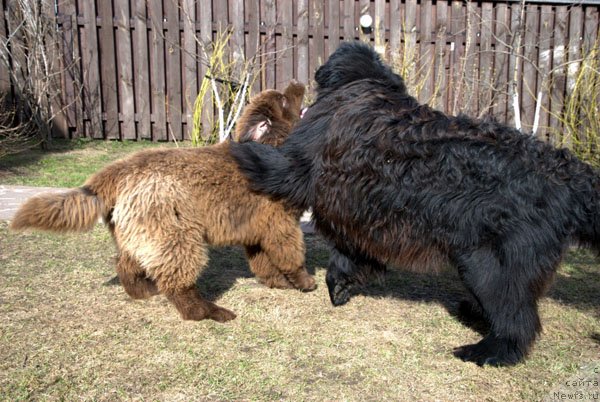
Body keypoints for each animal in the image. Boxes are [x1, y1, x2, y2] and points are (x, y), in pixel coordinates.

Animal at [11, 81, 316, 320]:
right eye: (285, 99)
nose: (298, 81)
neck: (274, 147)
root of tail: (116, 171)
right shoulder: (280, 222)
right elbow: (291, 254)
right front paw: (305, 282)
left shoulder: (255, 226)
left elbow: (263, 261)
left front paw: (278, 283)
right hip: (174, 230)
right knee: (178, 279)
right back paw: (208, 312)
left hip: (136, 231)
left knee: (126, 264)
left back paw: (144, 291)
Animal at [230, 41, 600, 368]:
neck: (363, 85)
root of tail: (570, 176)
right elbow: (348, 255)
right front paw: (341, 286)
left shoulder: (302, 163)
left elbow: (272, 163)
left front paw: (236, 148)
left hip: (487, 260)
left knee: (518, 317)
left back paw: (488, 352)